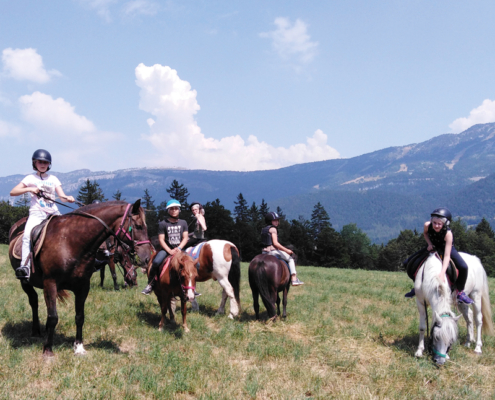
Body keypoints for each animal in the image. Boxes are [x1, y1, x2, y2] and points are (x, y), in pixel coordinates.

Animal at [7, 200, 151, 356]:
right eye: (138, 226)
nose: (147, 257)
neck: (71, 242)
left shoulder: (83, 286)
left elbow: (79, 316)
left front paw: (79, 347)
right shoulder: (50, 283)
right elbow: (53, 317)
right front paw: (48, 349)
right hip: (24, 281)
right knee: (33, 301)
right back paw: (35, 330)